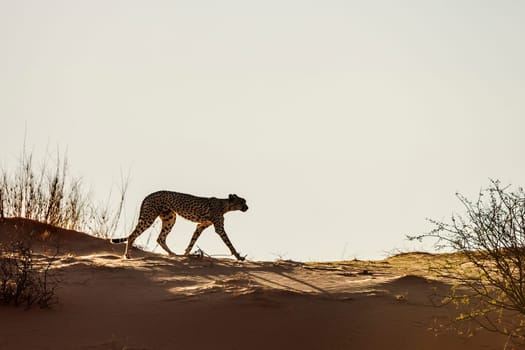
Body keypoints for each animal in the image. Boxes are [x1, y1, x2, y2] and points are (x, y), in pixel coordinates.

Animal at [110, 191, 248, 260]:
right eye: (242, 202)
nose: (247, 207)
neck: (226, 205)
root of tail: (149, 194)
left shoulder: (200, 226)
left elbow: (192, 241)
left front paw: (186, 254)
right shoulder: (219, 228)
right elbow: (229, 243)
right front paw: (238, 256)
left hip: (170, 218)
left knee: (160, 238)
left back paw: (173, 254)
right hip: (149, 218)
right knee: (132, 235)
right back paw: (127, 255)